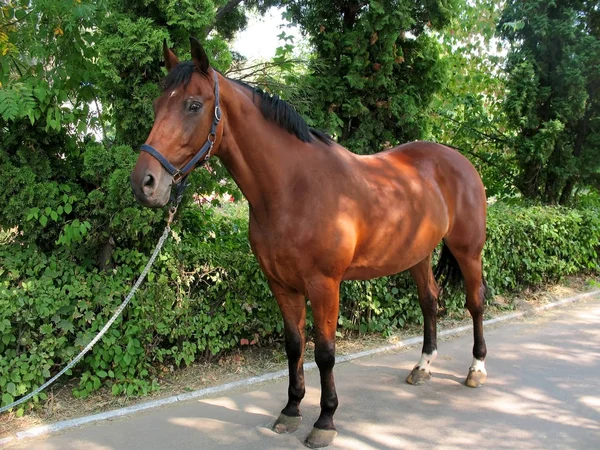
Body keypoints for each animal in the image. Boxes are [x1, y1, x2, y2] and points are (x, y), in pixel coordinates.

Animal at [130, 37, 488, 446]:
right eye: (158, 105)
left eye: (193, 105)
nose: (144, 183)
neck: (293, 190)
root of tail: (457, 160)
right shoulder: (281, 285)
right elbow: (294, 346)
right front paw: (290, 410)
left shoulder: (324, 286)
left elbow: (326, 353)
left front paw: (325, 420)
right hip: (417, 255)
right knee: (430, 302)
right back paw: (423, 366)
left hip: (468, 251)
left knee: (476, 302)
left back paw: (476, 369)